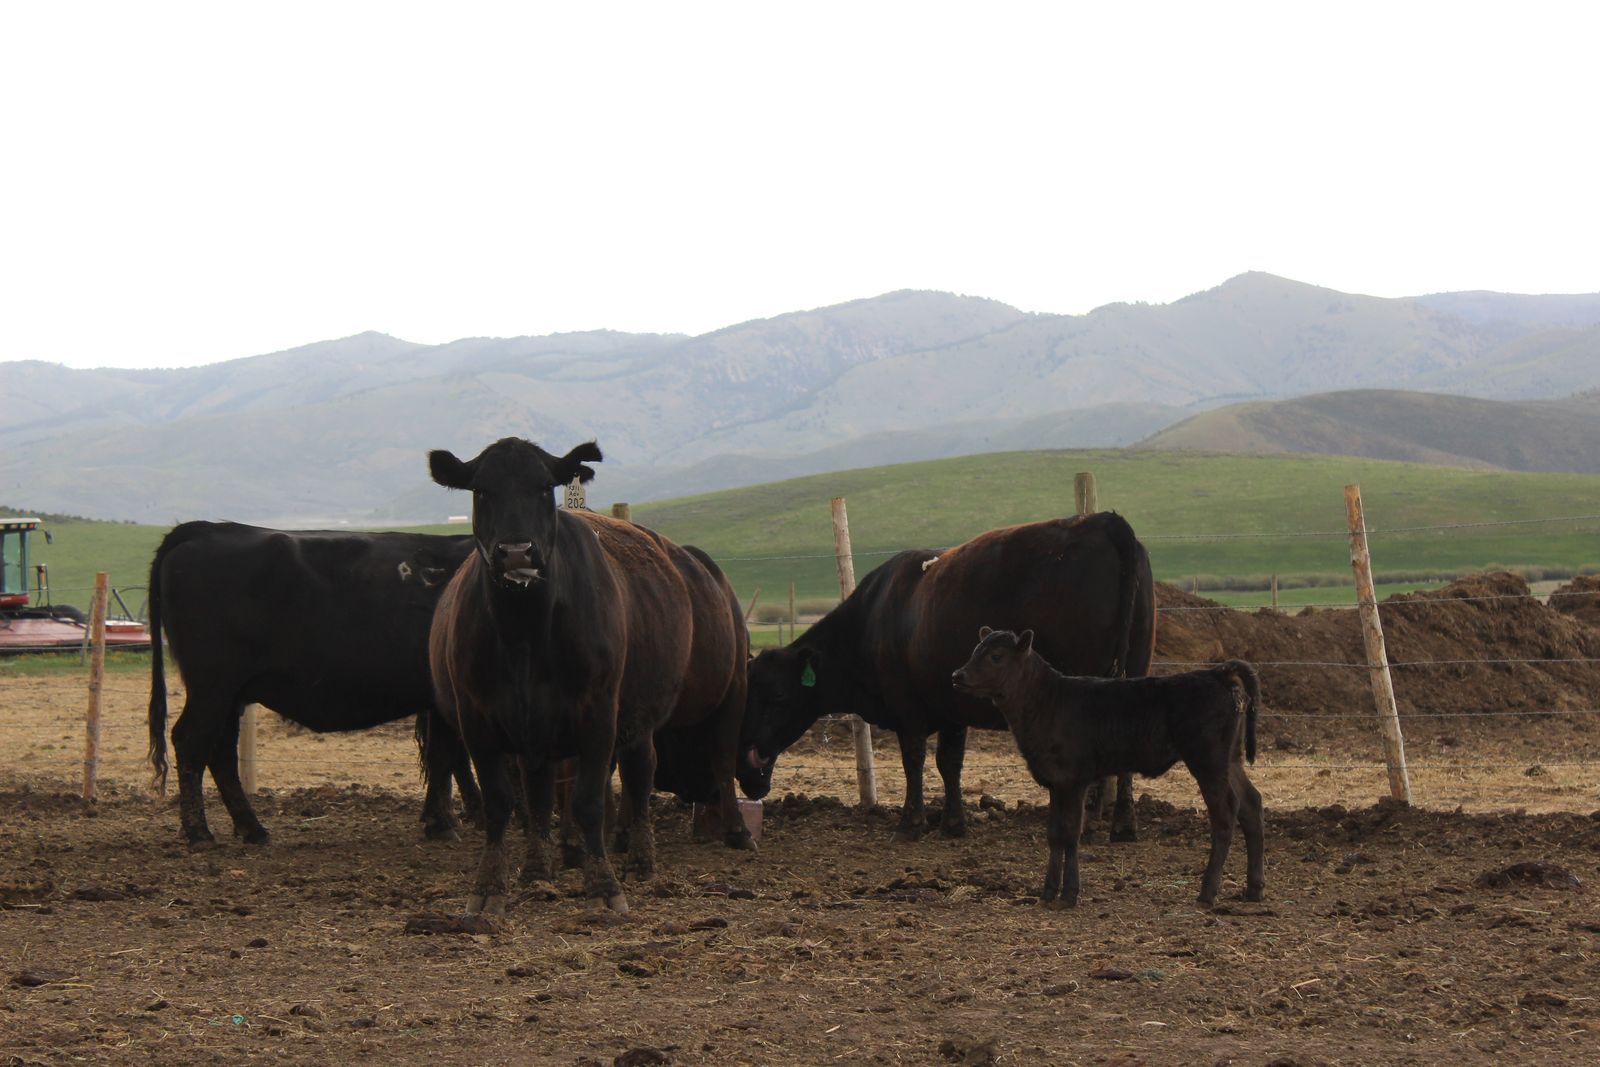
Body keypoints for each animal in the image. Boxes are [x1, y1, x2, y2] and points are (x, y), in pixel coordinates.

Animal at [147, 522, 481, 845]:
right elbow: (448, 756)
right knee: (191, 742)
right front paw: (446, 823)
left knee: (221, 751)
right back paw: (199, 833)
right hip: (213, 686)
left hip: (230, 695)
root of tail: (205, 528)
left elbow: (448, 757)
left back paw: (251, 828)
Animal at [427, 437, 750, 917]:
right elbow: (504, 802)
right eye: (481, 490)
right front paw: (489, 887)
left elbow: (590, 801)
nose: (517, 552)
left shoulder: (598, 715)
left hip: (684, 704)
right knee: (544, 791)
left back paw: (654, 855)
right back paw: (538, 869)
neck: (525, 636)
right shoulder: (477, 720)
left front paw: (604, 886)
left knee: (657, 771)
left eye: (545, 487)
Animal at [740, 512, 1156, 841]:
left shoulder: (907, 707)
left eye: (778, 696)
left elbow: (915, 759)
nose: (749, 769)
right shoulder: (953, 703)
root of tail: (1104, 520)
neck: (876, 616)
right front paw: (954, 822)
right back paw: (1123, 826)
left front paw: (911, 823)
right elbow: (949, 762)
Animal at [952, 628, 1264, 907]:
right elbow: (1054, 834)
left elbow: (1070, 833)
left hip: (1208, 760)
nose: (957, 676)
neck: (1047, 702)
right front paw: (1048, 892)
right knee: (1251, 804)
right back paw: (1253, 889)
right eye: (975, 651)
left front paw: (1069, 894)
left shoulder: (1074, 778)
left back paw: (1207, 893)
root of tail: (1217, 673)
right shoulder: (1055, 780)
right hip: (1230, 759)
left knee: (1225, 813)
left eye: (996, 656)